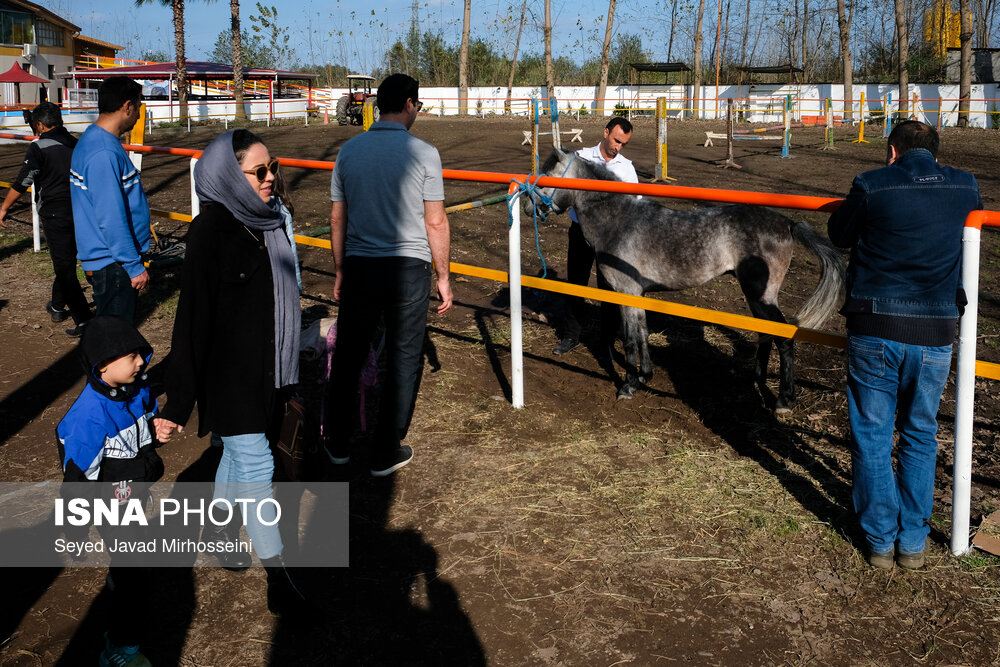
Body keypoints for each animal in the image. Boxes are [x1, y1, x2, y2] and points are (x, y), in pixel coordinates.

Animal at [524, 150, 844, 412]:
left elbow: (630, 339)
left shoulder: (626, 291)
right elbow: (642, 333)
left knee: (783, 336)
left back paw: (784, 400)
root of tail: (787, 223)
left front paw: (627, 385)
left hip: (761, 295)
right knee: (766, 334)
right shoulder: (637, 293)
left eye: (547, 175)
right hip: (756, 298)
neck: (619, 221)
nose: (528, 208)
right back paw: (756, 380)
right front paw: (644, 377)